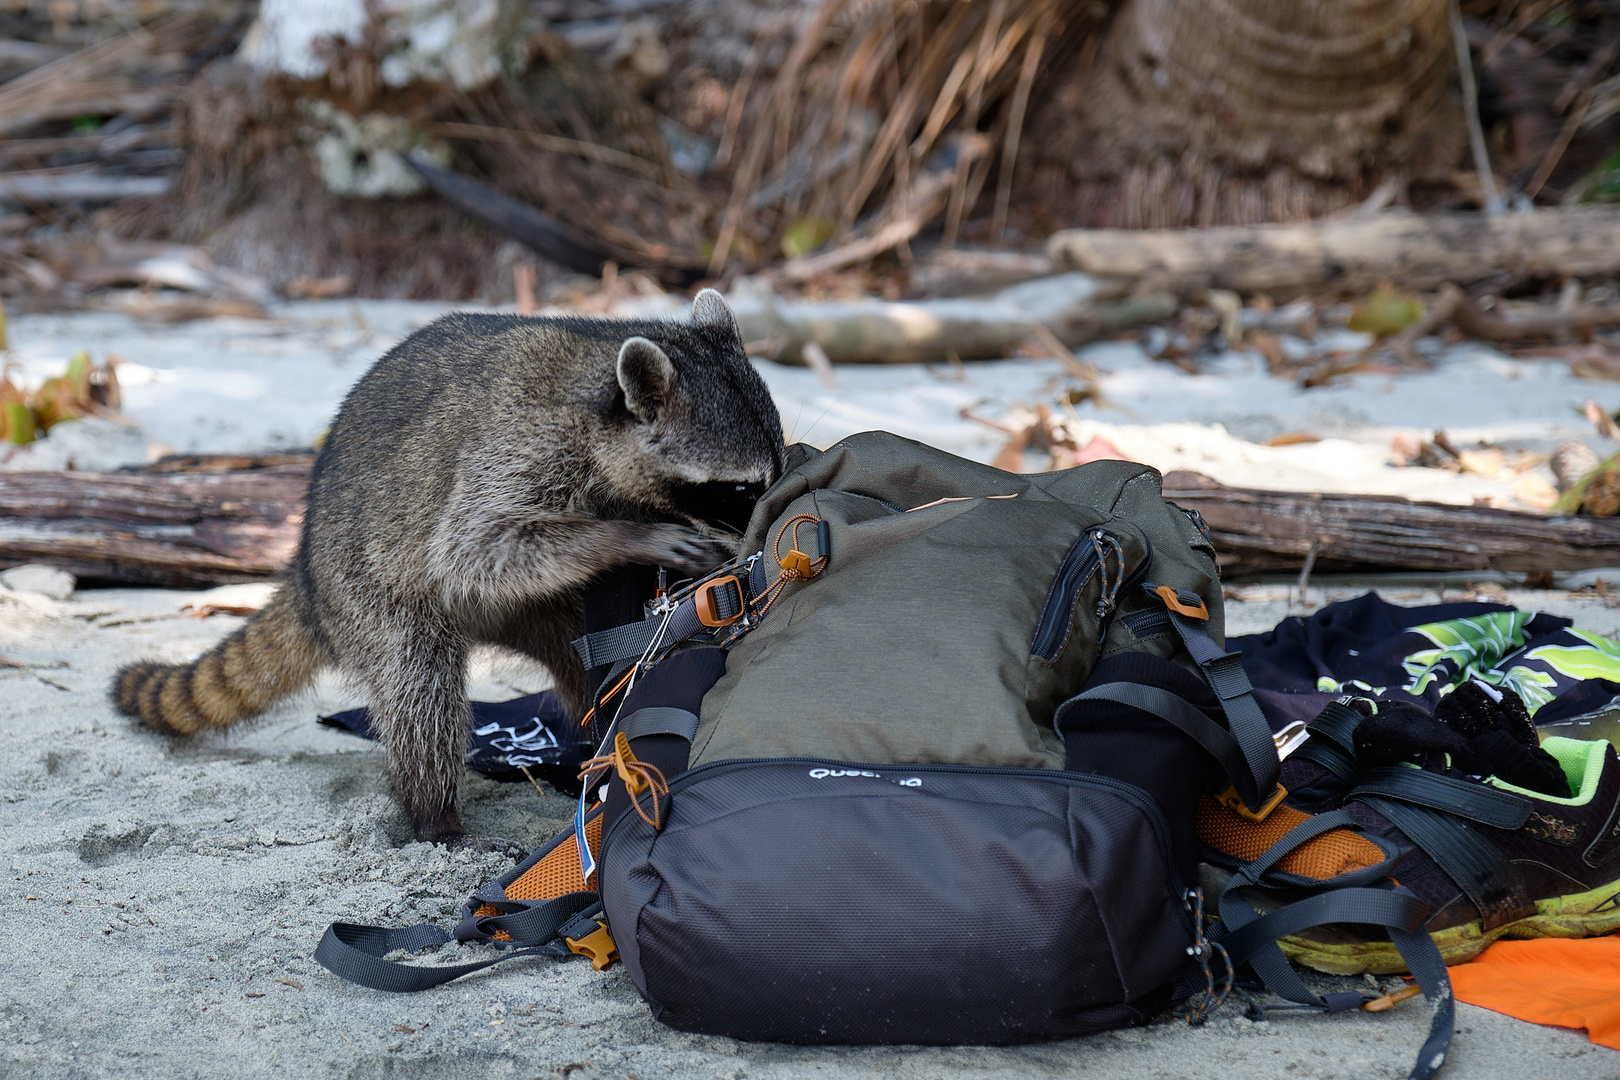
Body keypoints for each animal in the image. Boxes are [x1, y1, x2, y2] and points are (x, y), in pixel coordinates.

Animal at [114, 291, 784, 848]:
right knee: (420, 684)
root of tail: (305, 572)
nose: (771, 519)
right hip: (369, 592)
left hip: (529, 609)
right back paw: (436, 817)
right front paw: (631, 538)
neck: (595, 393)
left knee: (578, 656)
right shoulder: (520, 446)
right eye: (741, 489)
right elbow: (474, 548)